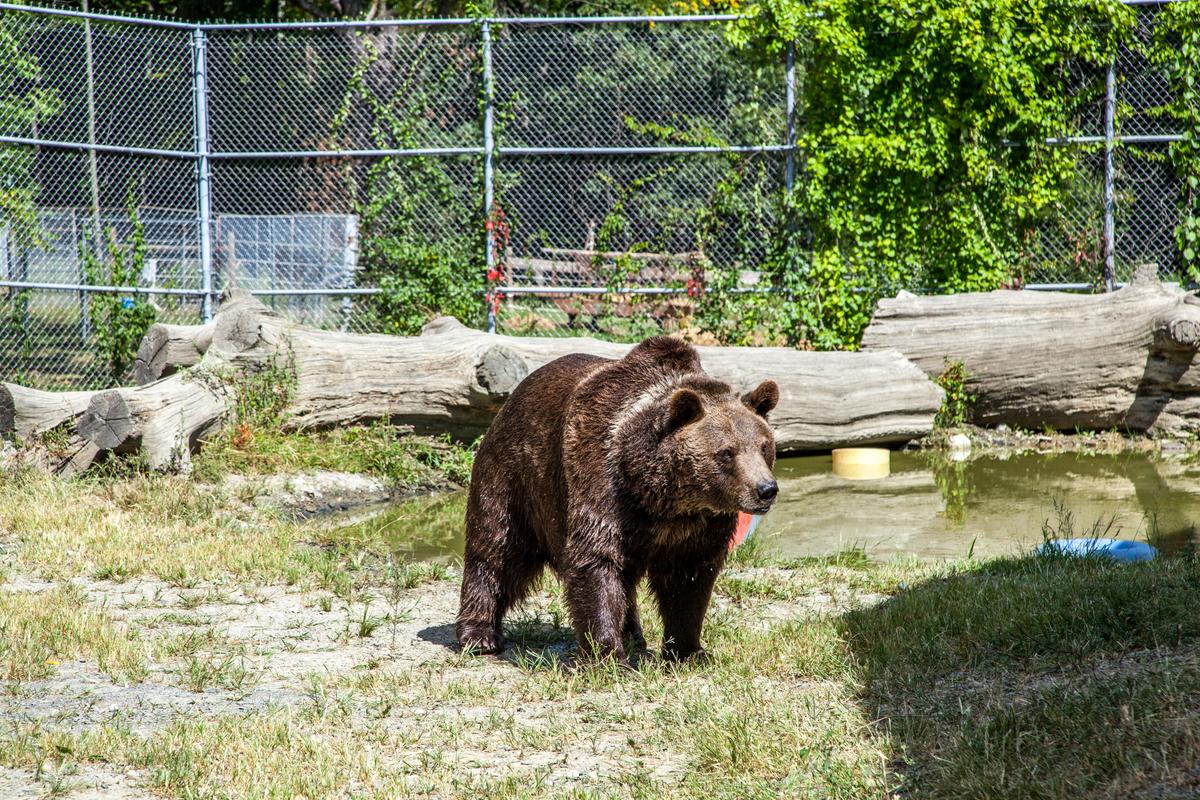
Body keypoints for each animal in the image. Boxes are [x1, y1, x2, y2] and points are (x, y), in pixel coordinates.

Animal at [451, 335, 777, 662]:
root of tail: (510, 400)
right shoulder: (603, 487)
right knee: (497, 548)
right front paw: (607, 653)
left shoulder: (700, 525)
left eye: (764, 446)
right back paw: (479, 634)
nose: (766, 489)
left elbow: (690, 580)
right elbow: (597, 561)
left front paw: (689, 651)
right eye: (726, 452)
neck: (660, 498)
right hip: (514, 477)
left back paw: (633, 633)